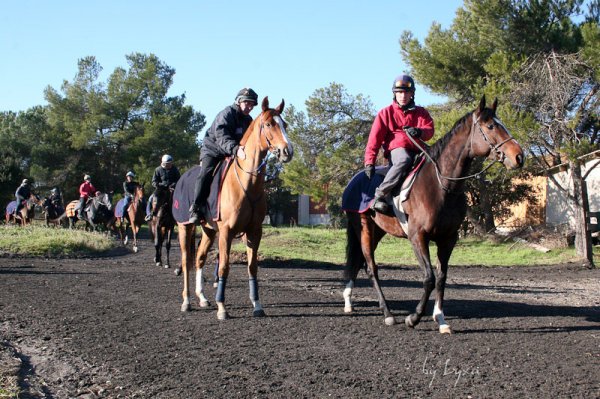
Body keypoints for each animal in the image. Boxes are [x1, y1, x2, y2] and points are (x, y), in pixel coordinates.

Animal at [175, 96, 294, 318]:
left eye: (285, 124)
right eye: (268, 124)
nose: (287, 151)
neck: (247, 184)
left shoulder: (254, 231)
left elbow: (252, 267)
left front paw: (257, 304)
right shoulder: (226, 232)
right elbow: (223, 267)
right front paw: (222, 307)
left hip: (209, 230)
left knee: (200, 258)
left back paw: (202, 298)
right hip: (184, 227)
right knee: (187, 261)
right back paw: (187, 301)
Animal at [344, 96, 524, 334]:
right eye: (491, 126)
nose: (519, 156)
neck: (441, 186)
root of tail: (354, 180)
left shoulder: (448, 239)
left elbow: (441, 277)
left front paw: (441, 319)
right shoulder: (418, 237)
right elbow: (429, 277)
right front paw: (413, 318)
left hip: (377, 231)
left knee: (359, 263)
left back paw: (348, 301)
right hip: (363, 227)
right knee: (371, 268)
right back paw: (387, 314)